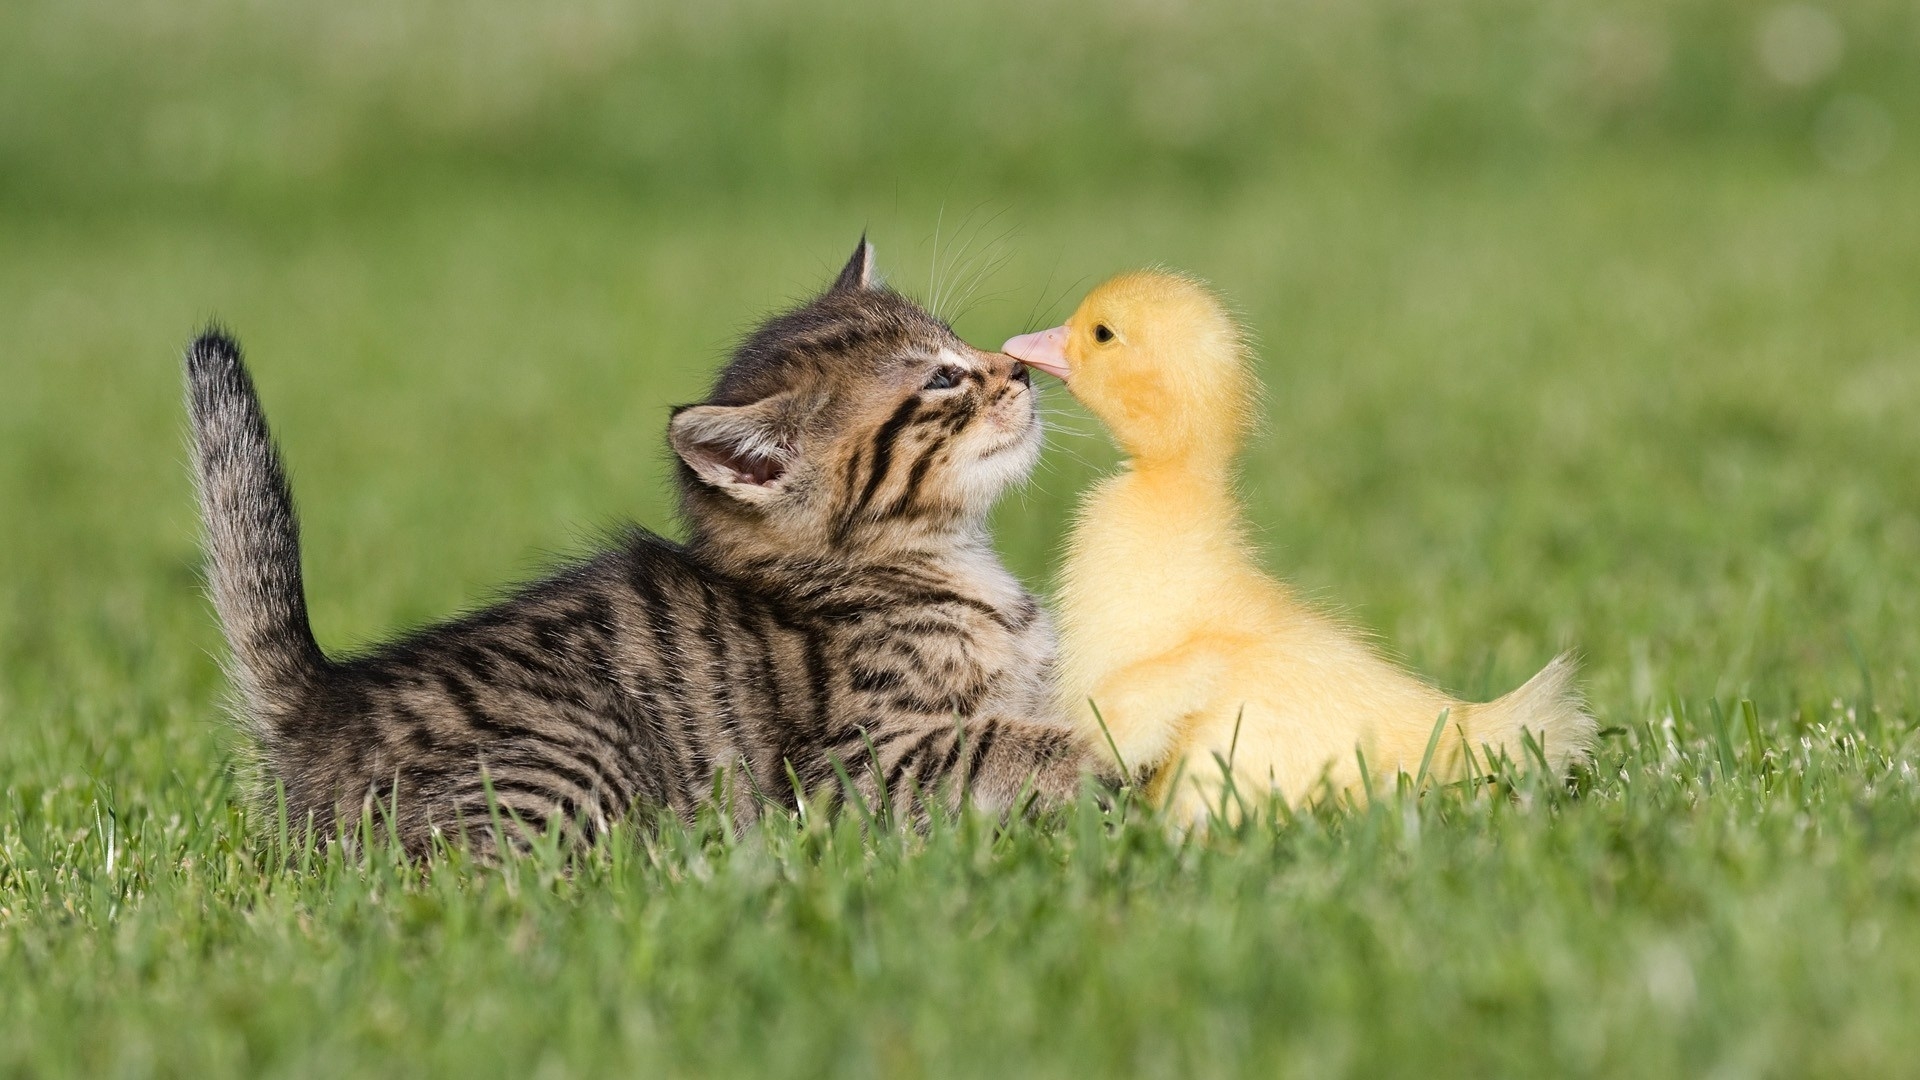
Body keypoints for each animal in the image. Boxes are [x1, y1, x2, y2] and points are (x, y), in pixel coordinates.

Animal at [189, 237, 1113, 849]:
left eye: (961, 343)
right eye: (942, 379)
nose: (1020, 370)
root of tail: (324, 703)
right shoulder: (859, 763)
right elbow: (1013, 740)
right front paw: (1118, 762)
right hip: (575, 754)